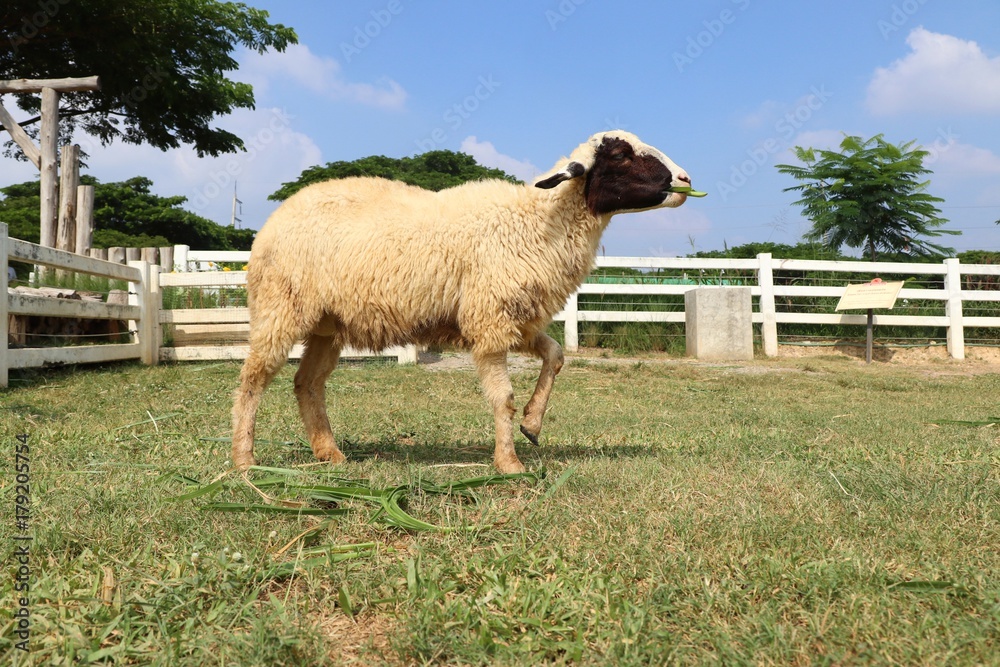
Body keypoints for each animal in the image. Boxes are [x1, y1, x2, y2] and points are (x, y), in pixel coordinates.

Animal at [232, 130, 695, 474]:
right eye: (620, 154)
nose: (686, 180)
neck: (536, 222)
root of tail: (274, 218)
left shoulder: (513, 318)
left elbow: (556, 355)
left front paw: (532, 424)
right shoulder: (490, 320)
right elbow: (502, 396)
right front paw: (509, 463)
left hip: (327, 324)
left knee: (307, 383)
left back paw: (329, 453)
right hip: (279, 307)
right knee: (254, 379)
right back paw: (244, 459)